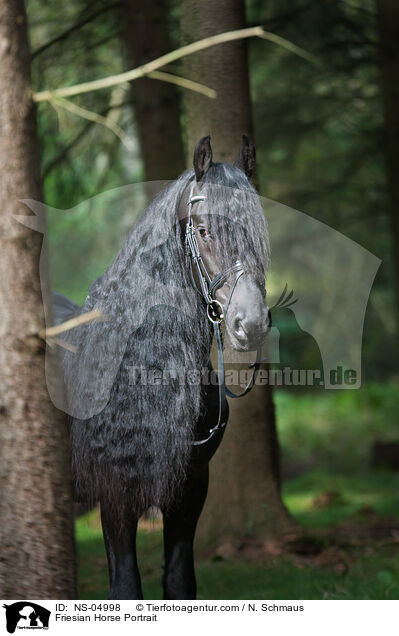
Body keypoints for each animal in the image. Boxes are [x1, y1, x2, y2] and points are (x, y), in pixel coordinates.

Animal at [55, 133, 272, 596]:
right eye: (203, 230)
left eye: (258, 232)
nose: (250, 323)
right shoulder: (116, 489)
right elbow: (125, 586)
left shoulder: (190, 486)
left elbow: (178, 581)